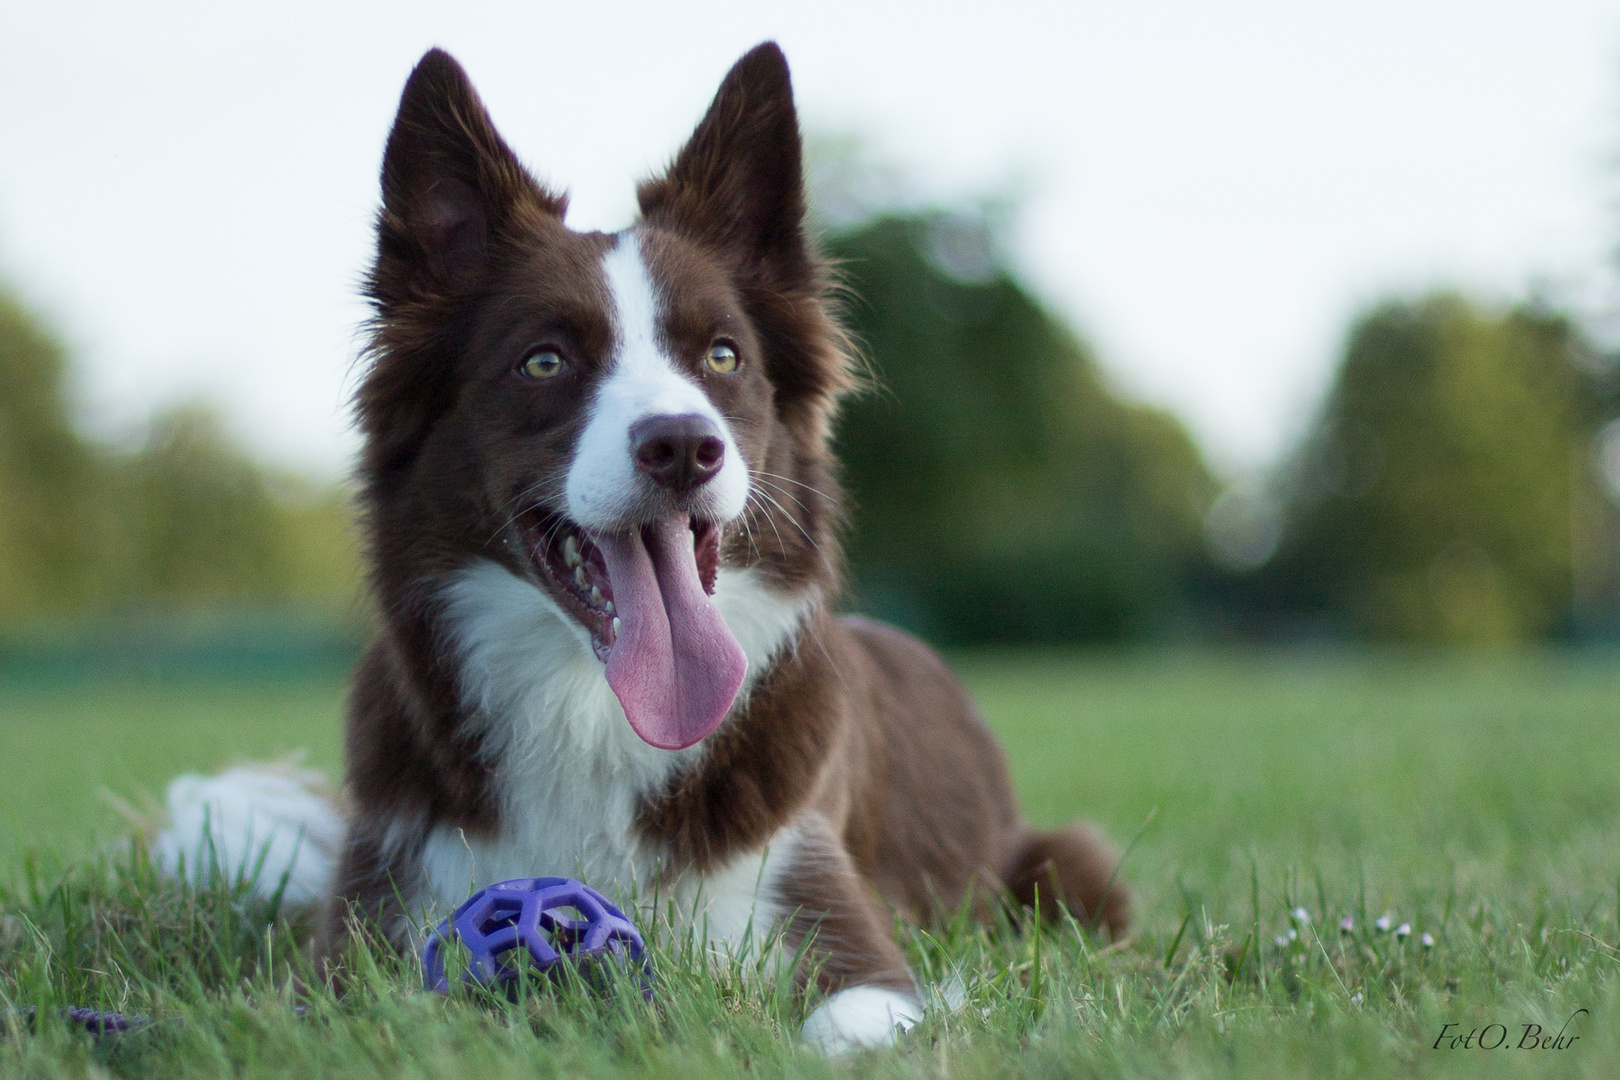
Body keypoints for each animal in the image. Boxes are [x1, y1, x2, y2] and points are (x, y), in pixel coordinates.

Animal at [161, 40, 1127, 1055]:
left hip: (1063, 869)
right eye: (544, 360)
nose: (683, 446)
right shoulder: (370, 920)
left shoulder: (833, 924)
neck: (591, 707)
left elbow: (849, 1023)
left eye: (723, 356)